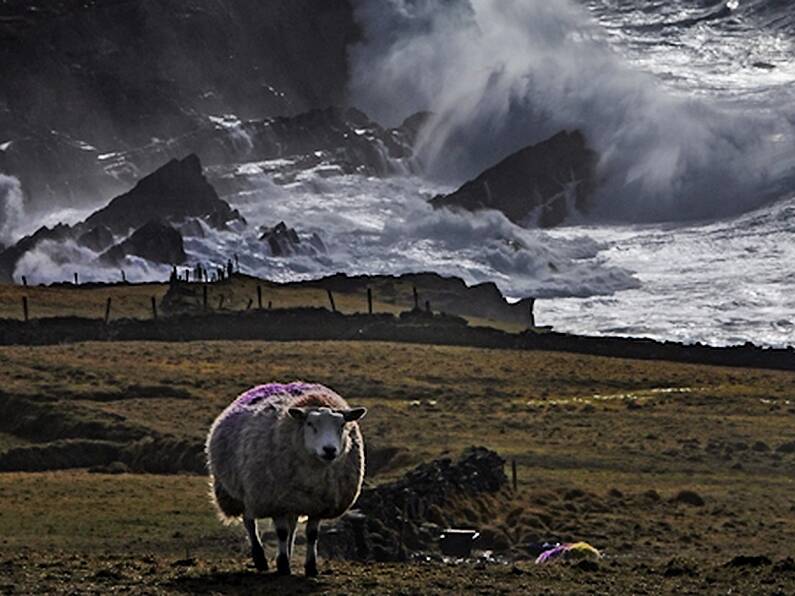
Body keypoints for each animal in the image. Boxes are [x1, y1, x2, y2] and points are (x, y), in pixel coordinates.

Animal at [205, 382, 366, 576]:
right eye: (310, 424)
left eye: (342, 425)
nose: (329, 450)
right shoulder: (275, 501)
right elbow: (281, 532)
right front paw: (283, 565)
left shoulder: (317, 504)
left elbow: (311, 535)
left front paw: (310, 567)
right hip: (244, 492)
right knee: (249, 522)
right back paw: (260, 559)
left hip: (293, 500)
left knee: (292, 527)